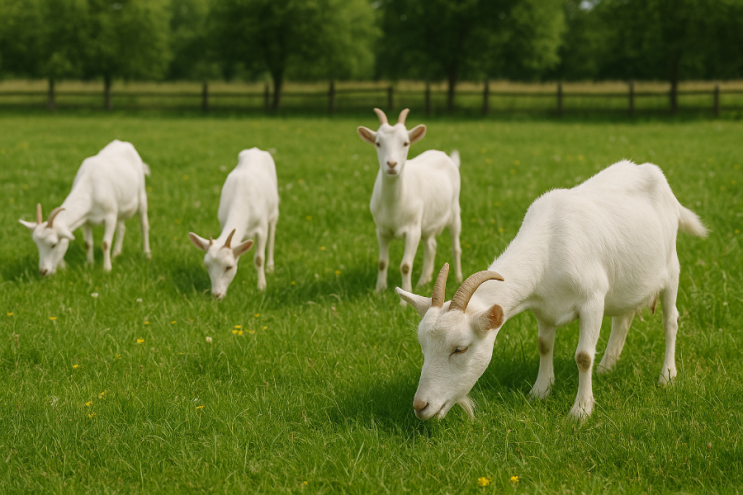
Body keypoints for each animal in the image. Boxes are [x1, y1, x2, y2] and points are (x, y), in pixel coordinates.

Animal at [19, 140, 151, 275]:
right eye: (37, 244)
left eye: (54, 244)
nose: (43, 271)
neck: (91, 187)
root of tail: (123, 143)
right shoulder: (87, 220)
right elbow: (88, 243)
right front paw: (90, 264)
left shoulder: (110, 216)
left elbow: (105, 243)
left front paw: (107, 269)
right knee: (122, 227)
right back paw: (116, 253)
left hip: (141, 196)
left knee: (144, 225)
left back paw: (146, 254)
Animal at [189, 148, 279, 299]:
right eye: (207, 265)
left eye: (229, 267)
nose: (216, 294)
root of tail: (255, 150)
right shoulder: (222, 221)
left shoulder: (261, 228)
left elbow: (259, 258)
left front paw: (261, 286)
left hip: (274, 209)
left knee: (272, 230)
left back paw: (270, 267)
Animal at [357, 108, 462, 303]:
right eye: (378, 143)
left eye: (405, 143)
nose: (391, 164)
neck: (394, 205)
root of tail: (443, 155)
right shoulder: (381, 230)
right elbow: (382, 262)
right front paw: (379, 290)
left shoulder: (412, 230)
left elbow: (405, 265)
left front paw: (404, 301)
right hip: (427, 223)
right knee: (431, 246)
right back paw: (424, 280)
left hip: (454, 212)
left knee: (456, 246)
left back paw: (458, 277)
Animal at [396, 160, 707, 421]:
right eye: (423, 346)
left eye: (460, 348)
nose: (420, 406)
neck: (549, 246)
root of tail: (655, 175)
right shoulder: (543, 309)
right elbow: (544, 345)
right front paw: (540, 391)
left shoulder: (593, 300)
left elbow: (583, 356)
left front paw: (581, 411)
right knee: (624, 317)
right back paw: (607, 367)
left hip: (671, 269)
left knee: (670, 321)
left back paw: (667, 375)